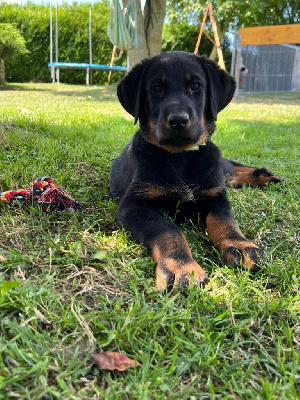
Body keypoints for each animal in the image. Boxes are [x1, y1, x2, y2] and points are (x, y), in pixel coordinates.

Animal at [110, 51, 282, 292]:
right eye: (156, 88)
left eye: (195, 86)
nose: (178, 120)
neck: (181, 156)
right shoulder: (133, 206)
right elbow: (168, 229)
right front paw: (181, 265)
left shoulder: (216, 196)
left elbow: (225, 222)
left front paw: (240, 244)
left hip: (218, 169)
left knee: (230, 169)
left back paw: (263, 175)